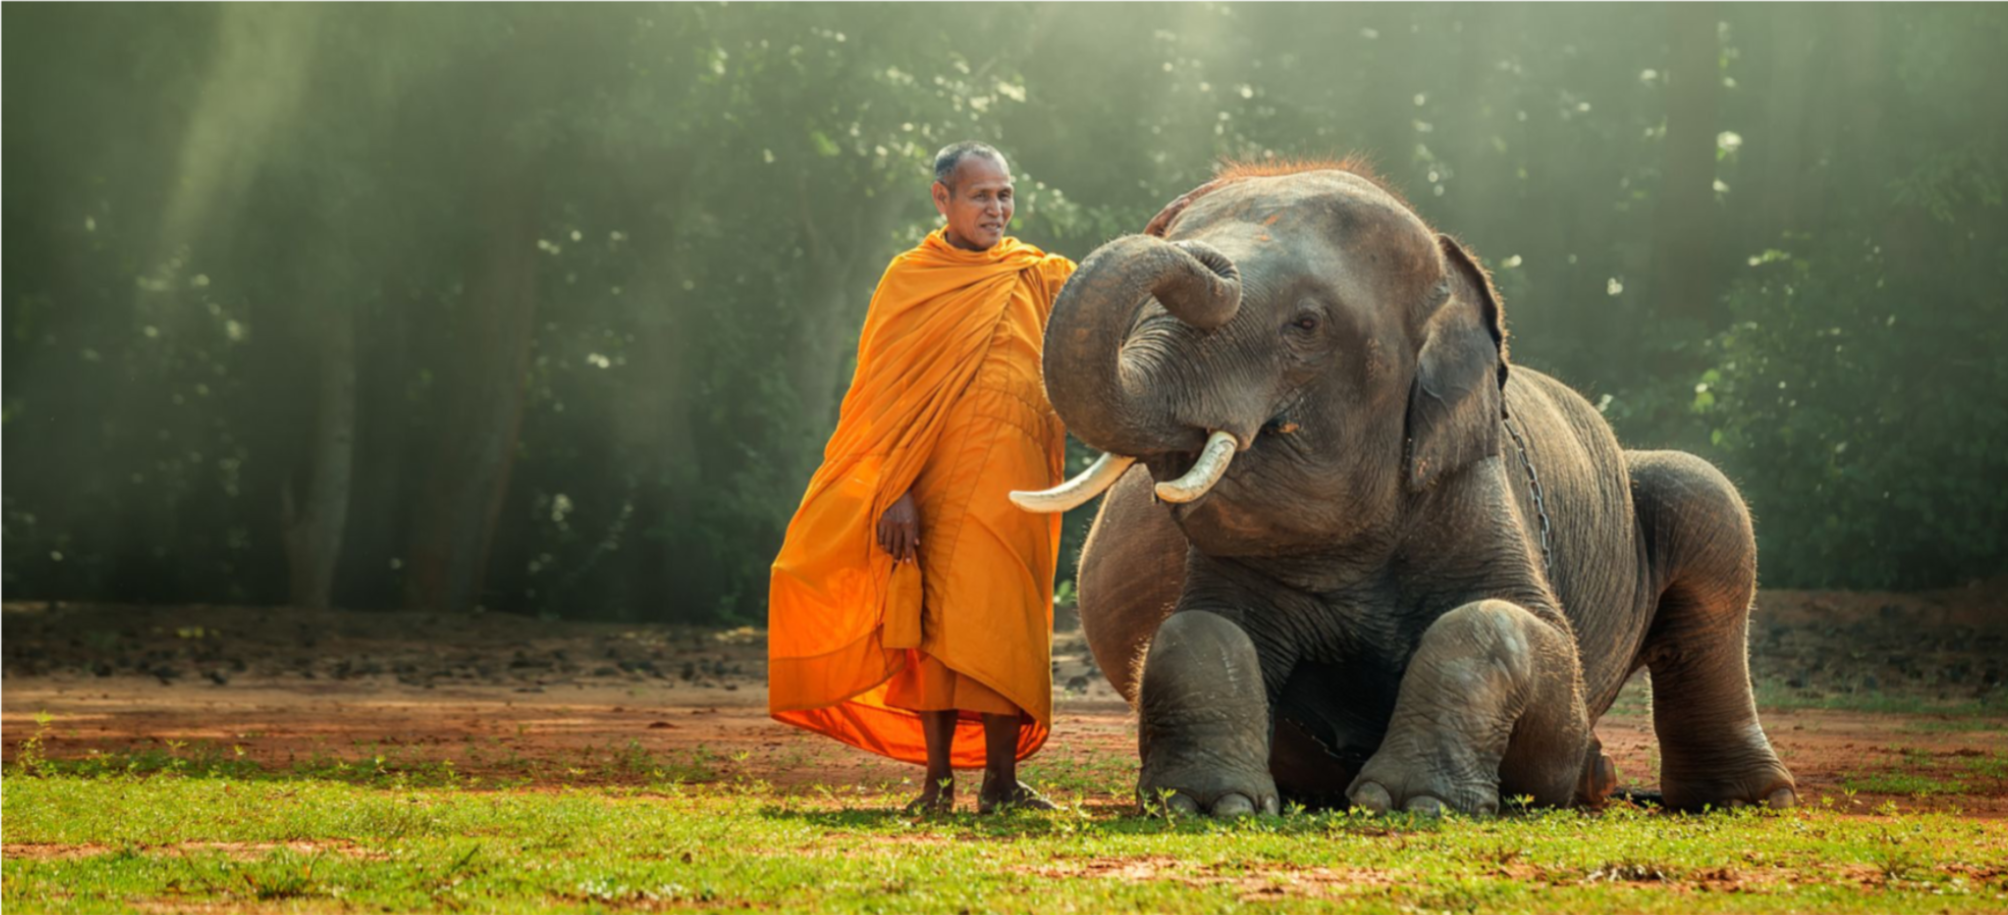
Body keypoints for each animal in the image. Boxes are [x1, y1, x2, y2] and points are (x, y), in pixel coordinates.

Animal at [1010, 161, 1797, 817]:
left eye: (1306, 323)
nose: (1197, 250)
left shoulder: (1477, 493)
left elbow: (1521, 631)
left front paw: (1417, 802)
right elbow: (1198, 627)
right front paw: (1208, 804)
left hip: (1681, 507)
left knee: (1708, 510)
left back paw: (1735, 799)